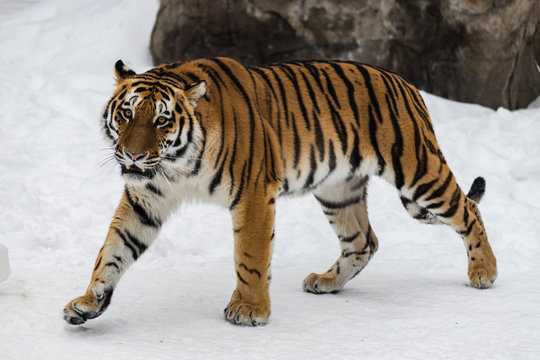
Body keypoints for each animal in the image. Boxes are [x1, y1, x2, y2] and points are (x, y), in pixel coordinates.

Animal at [63, 56, 498, 326]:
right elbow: (112, 250)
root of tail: (407, 84)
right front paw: (89, 302)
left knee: (468, 210)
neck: (176, 166)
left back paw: (484, 272)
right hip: (338, 190)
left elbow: (250, 256)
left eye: (162, 120)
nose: (133, 154)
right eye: (126, 114)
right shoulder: (146, 199)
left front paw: (248, 309)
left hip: (419, 173)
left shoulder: (253, 193)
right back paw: (326, 282)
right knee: (364, 241)